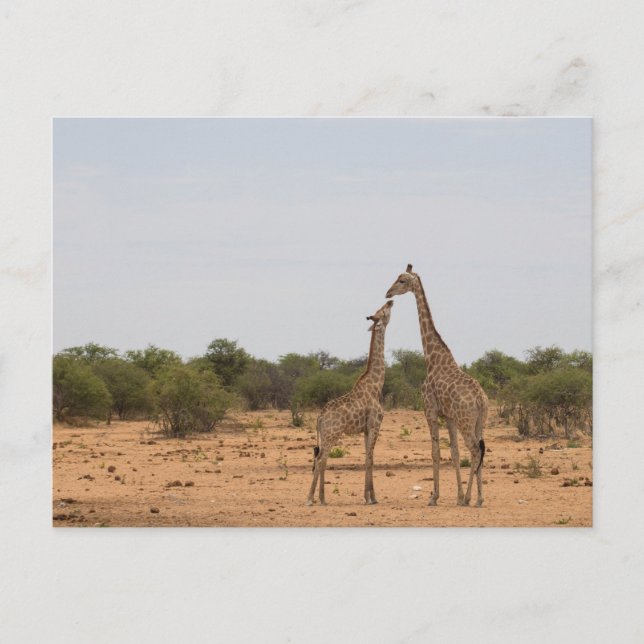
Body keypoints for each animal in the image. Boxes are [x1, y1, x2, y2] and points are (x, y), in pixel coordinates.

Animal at [307, 300, 393, 506]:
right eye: (383, 311)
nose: (391, 301)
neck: (376, 385)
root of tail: (319, 417)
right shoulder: (375, 424)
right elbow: (370, 459)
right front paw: (369, 498)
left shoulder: (366, 429)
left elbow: (368, 458)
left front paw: (371, 496)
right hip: (332, 434)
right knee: (321, 460)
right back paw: (311, 499)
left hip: (326, 435)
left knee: (321, 459)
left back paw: (322, 498)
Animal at [386, 265, 488, 507]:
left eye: (402, 280)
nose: (388, 293)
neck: (431, 359)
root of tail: (481, 399)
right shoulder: (449, 417)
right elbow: (454, 453)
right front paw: (457, 496)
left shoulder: (430, 411)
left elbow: (435, 452)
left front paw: (434, 497)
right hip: (479, 421)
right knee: (479, 450)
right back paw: (478, 498)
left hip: (466, 421)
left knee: (475, 450)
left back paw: (471, 498)